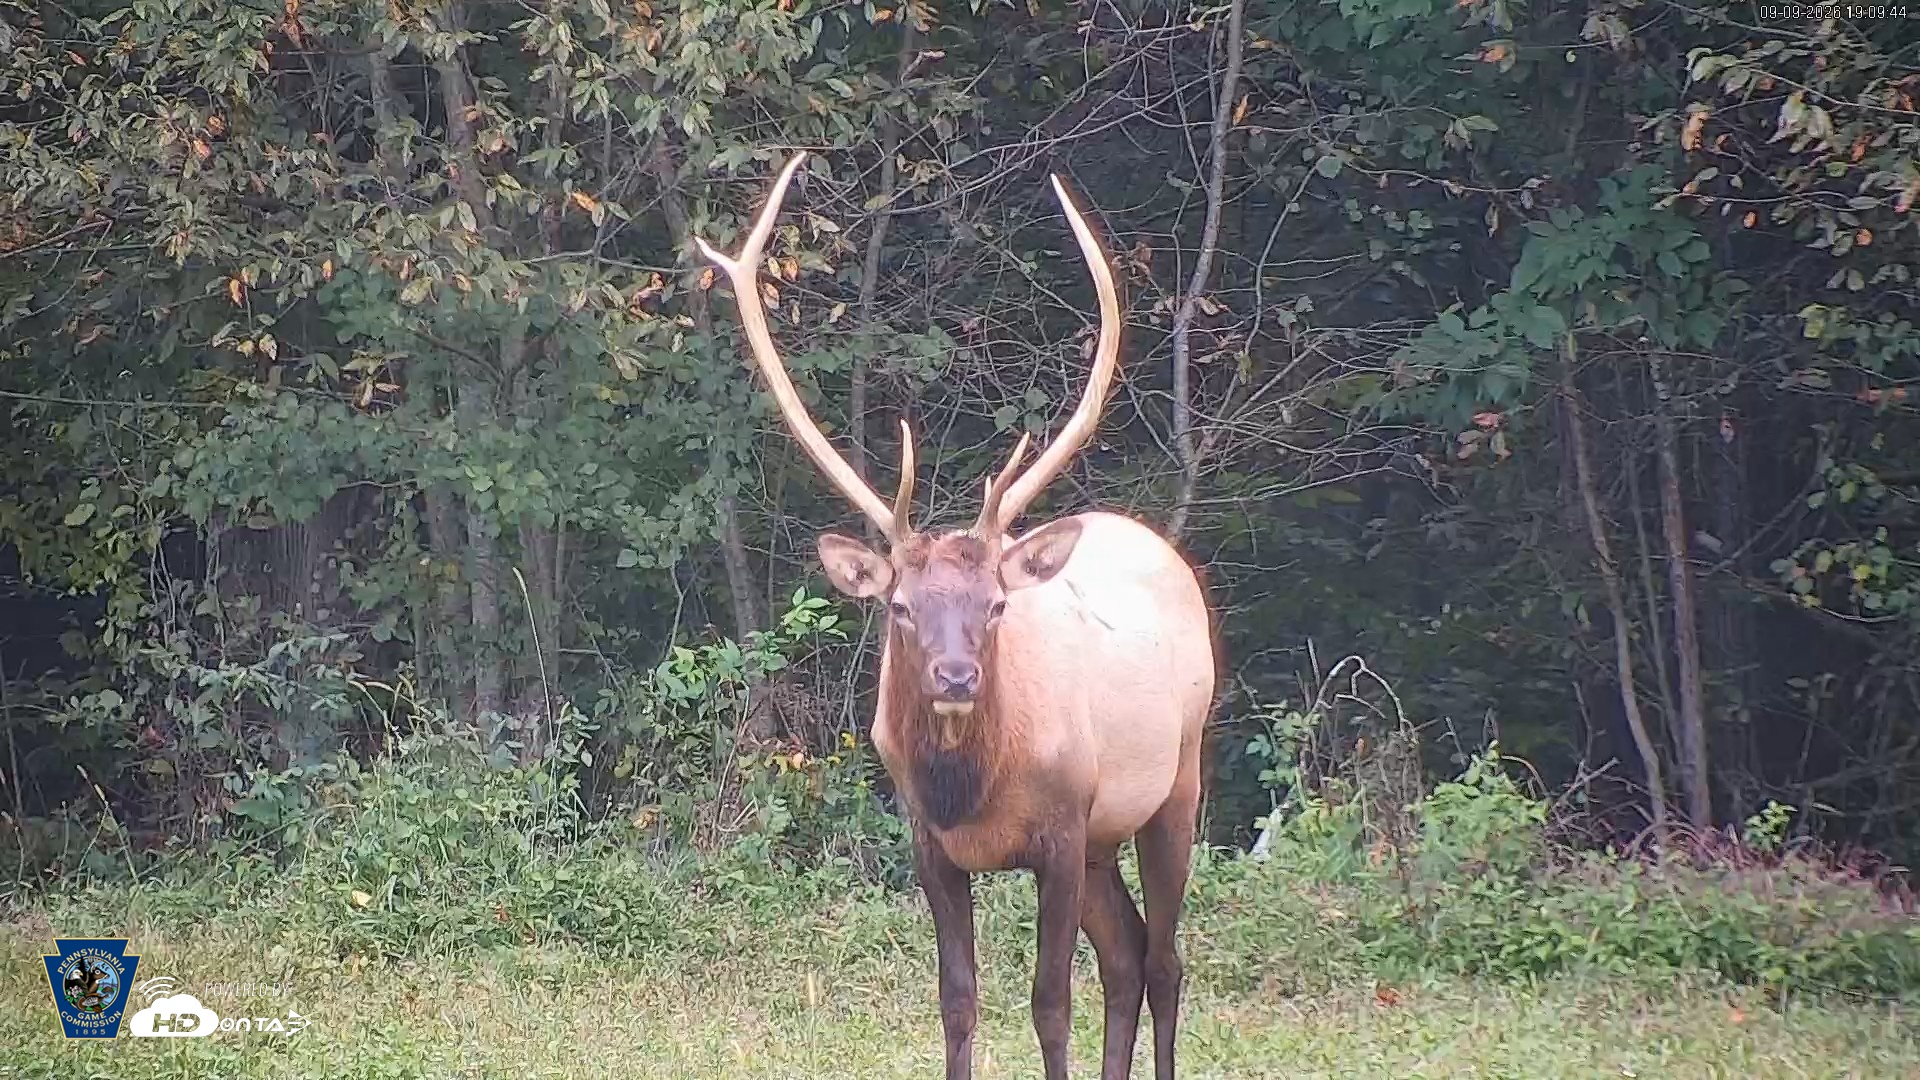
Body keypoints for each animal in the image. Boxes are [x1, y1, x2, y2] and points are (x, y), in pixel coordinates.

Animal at [694, 153, 1216, 1080]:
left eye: (997, 604)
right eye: (901, 605)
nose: (956, 675)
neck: (974, 788)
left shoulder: (1061, 827)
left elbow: (1050, 1003)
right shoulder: (932, 845)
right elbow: (958, 1001)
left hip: (1175, 778)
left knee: (1164, 961)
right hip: (1104, 837)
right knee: (1127, 954)